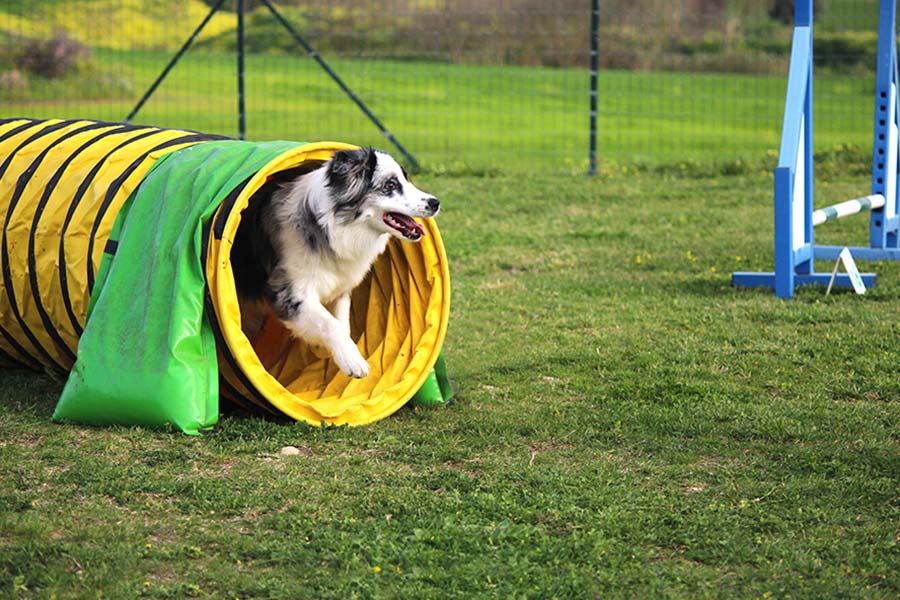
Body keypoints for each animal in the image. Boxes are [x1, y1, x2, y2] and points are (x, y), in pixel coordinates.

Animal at [232, 147, 440, 378]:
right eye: (390, 185)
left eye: (406, 178)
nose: (435, 203)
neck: (334, 228)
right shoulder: (290, 293)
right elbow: (329, 324)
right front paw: (353, 362)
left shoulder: (340, 289)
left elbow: (342, 325)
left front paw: (337, 353)